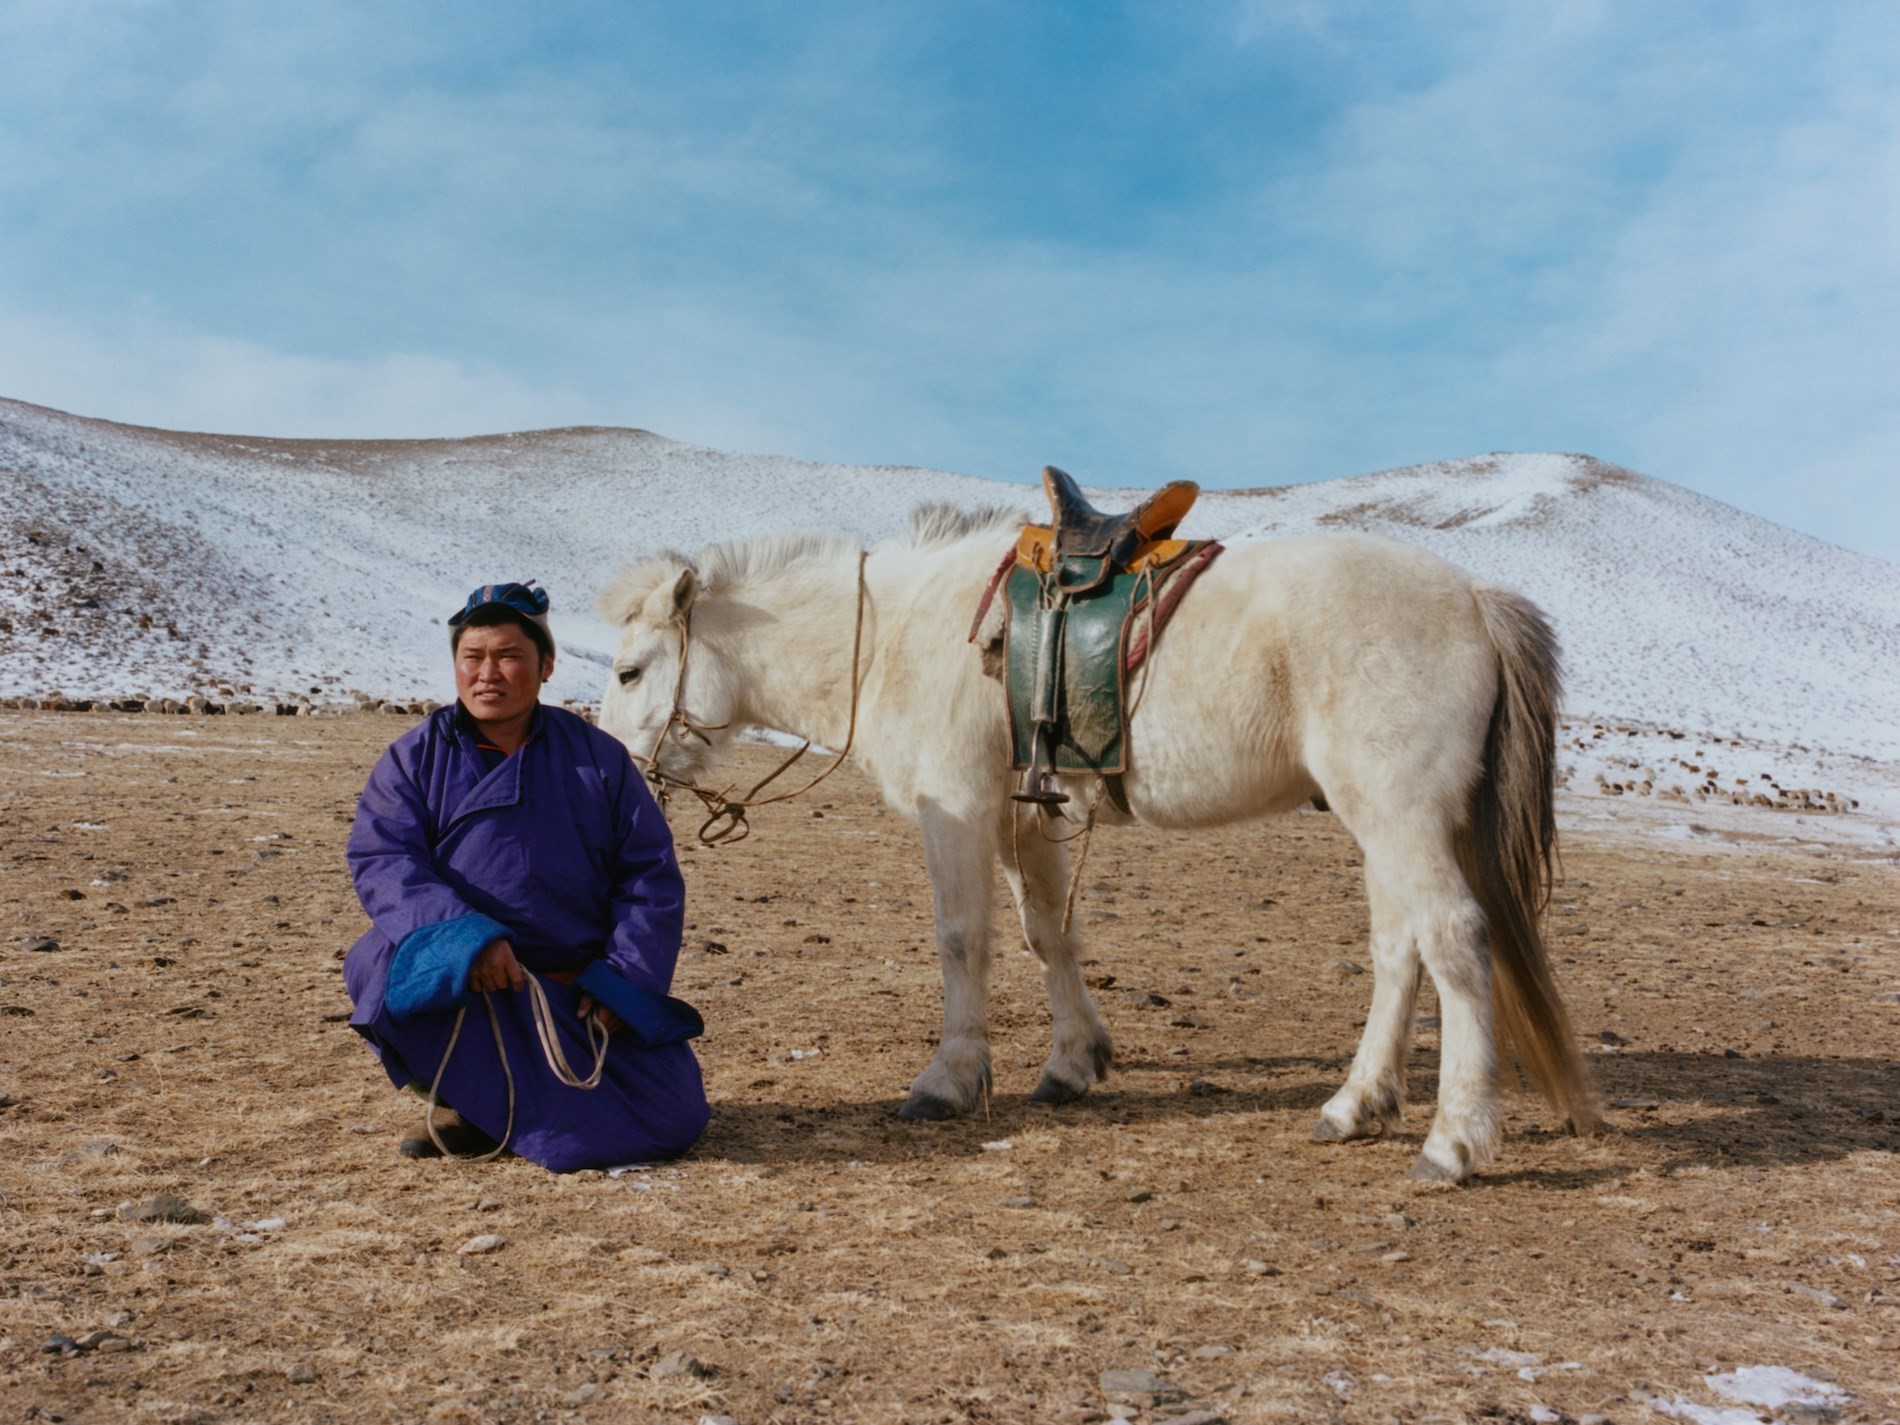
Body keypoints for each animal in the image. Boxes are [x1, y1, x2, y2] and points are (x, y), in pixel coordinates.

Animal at [600, 509, 1596, 1185]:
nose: (617, 765)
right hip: (1380, 821)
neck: (892, 637)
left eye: (628, 670)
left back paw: (1453, 1140)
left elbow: (962, 939)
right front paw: (1074, 1061)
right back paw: (1355, 1104)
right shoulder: (1023, 818)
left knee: (1456, 941)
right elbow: (1049, 935)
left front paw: (949, 1078)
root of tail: (1474, 600)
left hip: (1400, 813)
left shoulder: (956, 807)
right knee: (1399, 950)